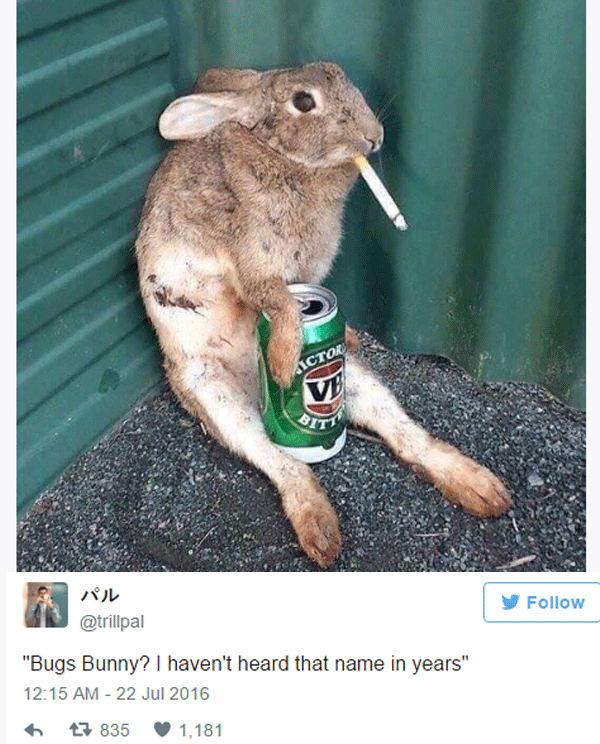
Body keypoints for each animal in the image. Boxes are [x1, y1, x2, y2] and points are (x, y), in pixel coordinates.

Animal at [135, 61, 511, 568]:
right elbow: (276, 300)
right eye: (304, 101)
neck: (284, 157)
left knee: (403, 435)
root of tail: (251, 389)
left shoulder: (306, 278)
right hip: (210, 393)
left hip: (353, 383)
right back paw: (321, 532)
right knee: (282, 462)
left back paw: (481, 488)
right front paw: (283, 359)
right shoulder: (256, 262)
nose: (375, 137)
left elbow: (306, 300)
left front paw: (337, 339)